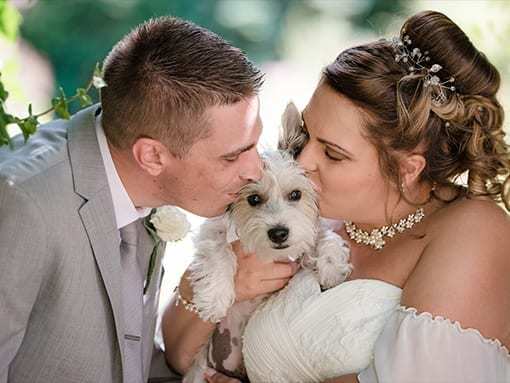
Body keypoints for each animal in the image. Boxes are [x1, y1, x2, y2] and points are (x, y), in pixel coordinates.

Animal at [184, 102, 354, 383]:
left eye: (295, 194)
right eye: (253, 199)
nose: (278, 233)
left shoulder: (306, 234)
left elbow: (324, 235)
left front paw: (331, 267)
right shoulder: (213, 230)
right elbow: (220, 251)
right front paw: (215, 298)